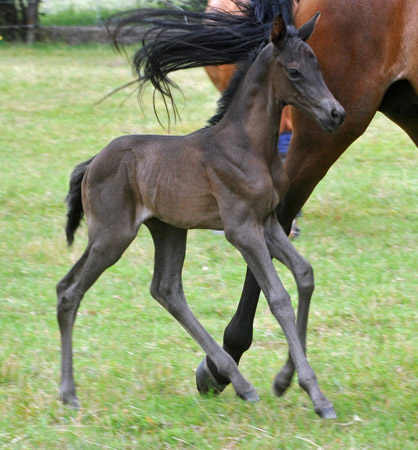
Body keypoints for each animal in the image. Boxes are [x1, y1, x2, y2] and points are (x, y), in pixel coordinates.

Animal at [58, 12, 346, 418]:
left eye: (317, 65)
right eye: (293, 72)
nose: (336, 113)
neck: (248, 146)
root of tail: (93, 162)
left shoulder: (268, 224)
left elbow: (304, 275)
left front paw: (283, 380)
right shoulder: (241, 229)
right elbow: (278, 297)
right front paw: (317, 396)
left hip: (167, 229)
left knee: (165, 289)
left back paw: (240, 383)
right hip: (112, 235)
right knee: (70, 291)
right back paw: (69, 393)